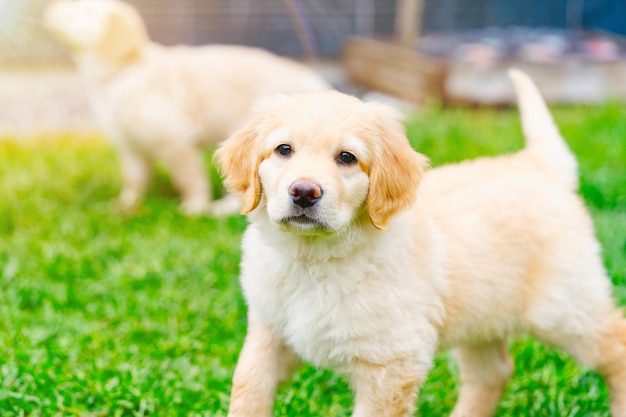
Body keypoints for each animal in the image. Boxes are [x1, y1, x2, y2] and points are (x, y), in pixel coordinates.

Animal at [44, 0, 330, 214]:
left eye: (85, 11)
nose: (51, 8)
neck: (124, 69)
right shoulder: (130, 145)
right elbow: (134, 178)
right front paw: (126, 204)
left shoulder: (174, 139)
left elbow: (189, 178)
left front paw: (194, 207)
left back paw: (221, 209)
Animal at [217, 70, 624, 414]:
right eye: (283, 150)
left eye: (347, 158)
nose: (303, 192)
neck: (312, 258)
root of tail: (538, 166)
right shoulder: (269, 333)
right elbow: (247, 389)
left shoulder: (390, 363)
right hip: (481, 313)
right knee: (493, 371)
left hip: (563, 307)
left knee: (615, 346)